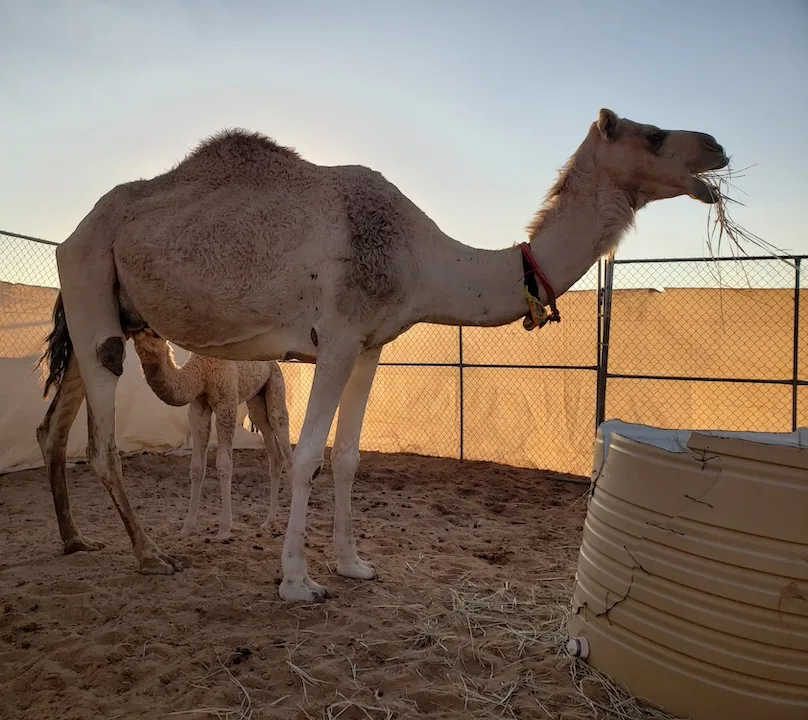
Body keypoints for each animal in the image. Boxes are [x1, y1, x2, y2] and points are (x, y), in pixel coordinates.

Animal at [131, 328, 292, 540]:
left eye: (153, 333)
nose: (132, 333)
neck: (202, 371)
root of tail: (274, 362)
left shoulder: (226, 404)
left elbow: (224, 465)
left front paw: (224, 529)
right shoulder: (198, 406)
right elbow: (196, 467)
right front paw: (187, 527)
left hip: (276, 382)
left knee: (282, 432)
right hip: (257, 399)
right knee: (273, 451)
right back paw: (268, 521)